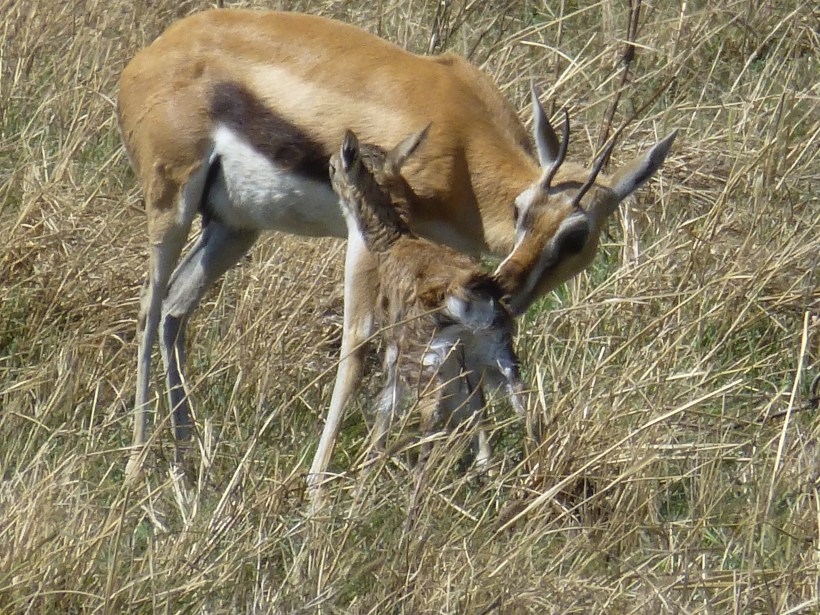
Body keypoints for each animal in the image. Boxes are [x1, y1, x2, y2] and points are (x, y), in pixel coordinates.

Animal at [329, 126, 527, 468]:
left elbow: (385, 407)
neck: (391, 244)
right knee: (522, 406)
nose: (326, 168)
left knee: (431, 415)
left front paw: (369, 465)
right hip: (496, 353)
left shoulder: (392, 349)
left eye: (332, 166)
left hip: (424, 362)